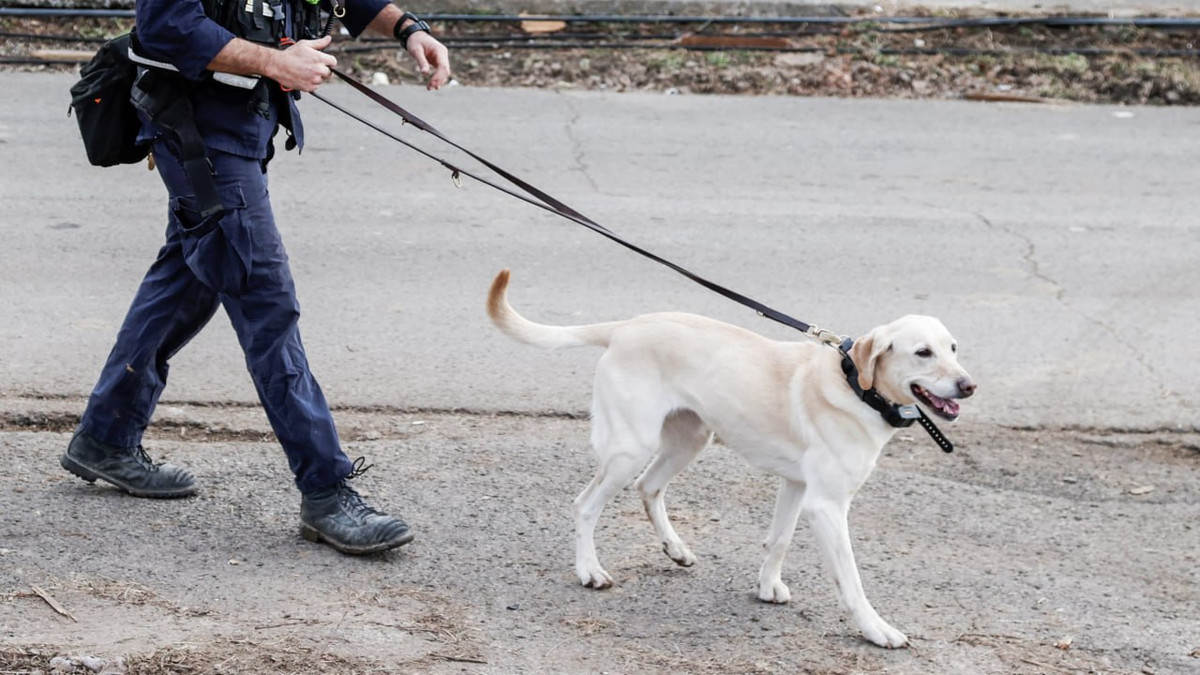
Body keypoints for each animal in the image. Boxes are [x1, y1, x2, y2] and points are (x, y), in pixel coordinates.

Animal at [484, 267, 974, 648]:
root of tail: (626, 327)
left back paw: (676, 549)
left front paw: (767, 586)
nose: (969, 386)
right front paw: (876, 629)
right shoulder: (828, 506)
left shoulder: (798, 487)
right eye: (922, 353)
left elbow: (779, 540)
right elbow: (850, 580)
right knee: (586, 504)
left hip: (690, 439)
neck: (856, 386)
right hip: (629, 447)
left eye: (953, 348)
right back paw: (589, 570)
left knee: (648, 486)